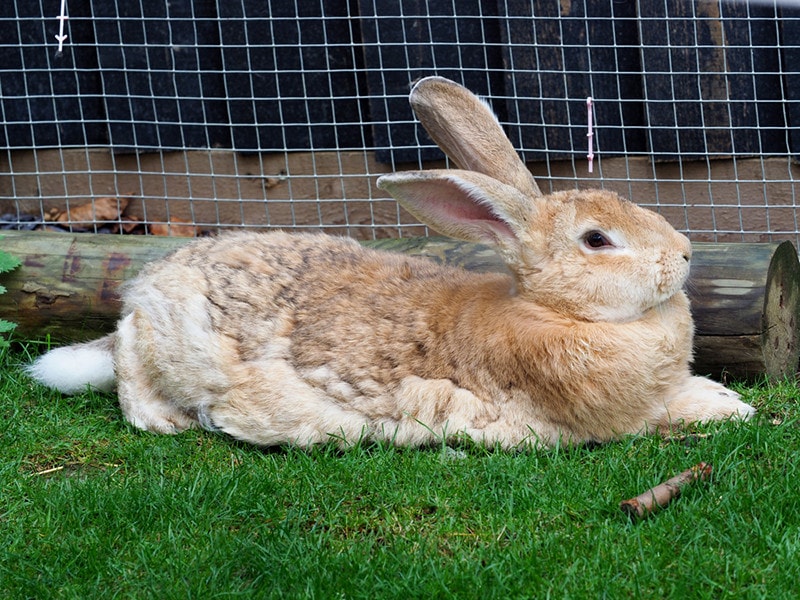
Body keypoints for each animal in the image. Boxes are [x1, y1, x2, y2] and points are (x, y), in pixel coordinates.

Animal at [25, 75, 752, 448]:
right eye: (598, 240)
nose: (685, 255)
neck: (552, 311)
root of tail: (153, 281)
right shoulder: (593, 421)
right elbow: (661, 416)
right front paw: (729, 409)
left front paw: (724, 396)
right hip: (166, 340)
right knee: (128, 366)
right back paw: (162, 418)